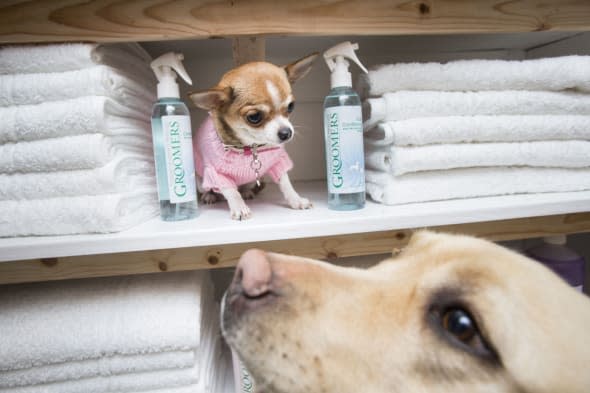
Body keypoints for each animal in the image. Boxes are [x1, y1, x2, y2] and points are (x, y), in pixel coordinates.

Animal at [190, 54, 320, 220]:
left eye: (291, 106)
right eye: (254, 117)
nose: (286, 133)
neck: (252, 146)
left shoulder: (278, 162)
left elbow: (285, 183)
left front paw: (296, 200)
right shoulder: (217, 174)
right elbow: (231, 191)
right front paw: (239, 208)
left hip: (252, 180)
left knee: (244, 187)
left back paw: (246, 192)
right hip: (200, 181)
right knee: (210, 189)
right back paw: (210, 196)